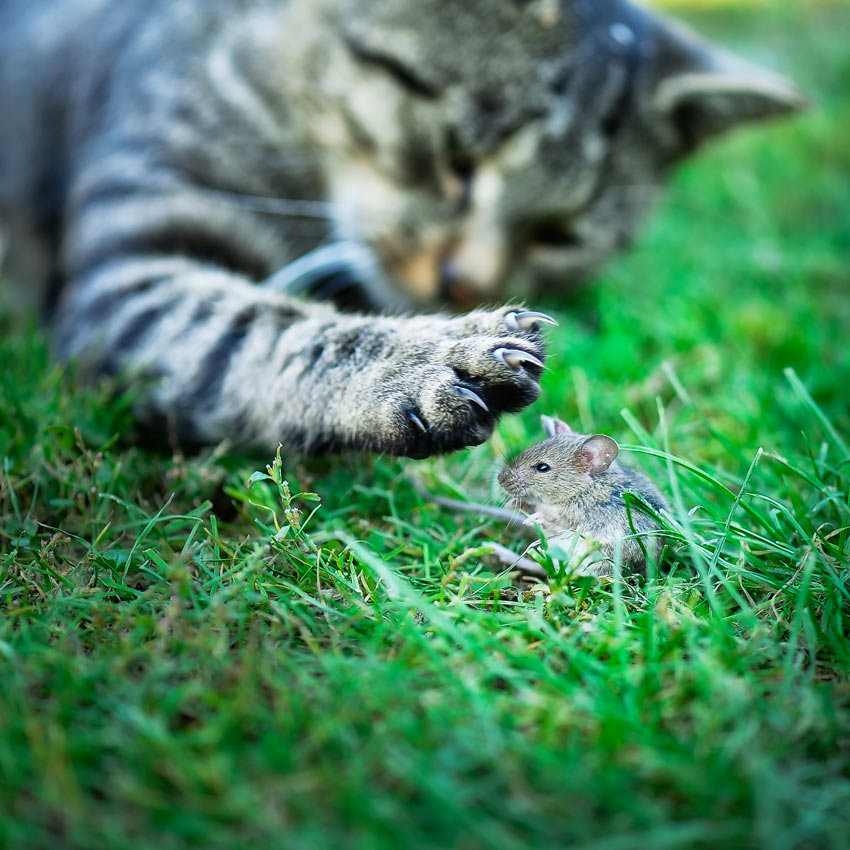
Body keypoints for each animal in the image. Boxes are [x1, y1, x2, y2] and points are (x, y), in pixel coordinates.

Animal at [0, 0, 800, 458]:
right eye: (457, 163)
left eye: (557, 234)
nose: (466, 282)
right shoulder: (131, 268)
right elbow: (265, 329)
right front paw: (421, 359)